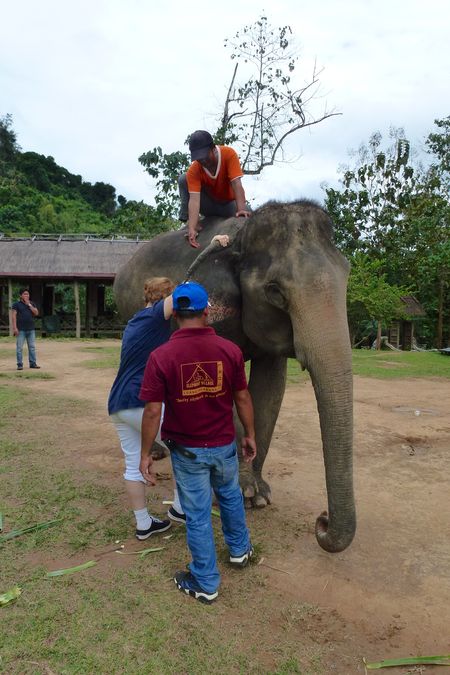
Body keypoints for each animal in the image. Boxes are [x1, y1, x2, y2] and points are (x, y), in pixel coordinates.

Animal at [113, 200, 355, 553]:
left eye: (347, 274)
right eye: (275, 292)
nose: (321, 521)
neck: (241, 238)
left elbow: (269, 389)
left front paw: (257, 495)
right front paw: (238, 489)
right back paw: (159, 452)